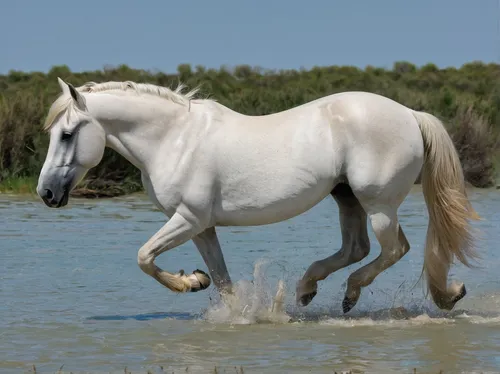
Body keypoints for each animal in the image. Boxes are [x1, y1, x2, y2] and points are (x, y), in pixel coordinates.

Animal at [36, 78, 480, 312]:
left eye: (68, 134)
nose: (46, 193)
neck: (173, 139)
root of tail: (409, 114)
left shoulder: (188, 219)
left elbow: (144, 257)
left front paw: (189, 284)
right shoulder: (200, 227)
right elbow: (221, 280)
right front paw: (218, 298)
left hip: (378, 204)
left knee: (392, 250)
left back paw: (349, 294)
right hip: (346, 197)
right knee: (357, 248)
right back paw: (306, 289)